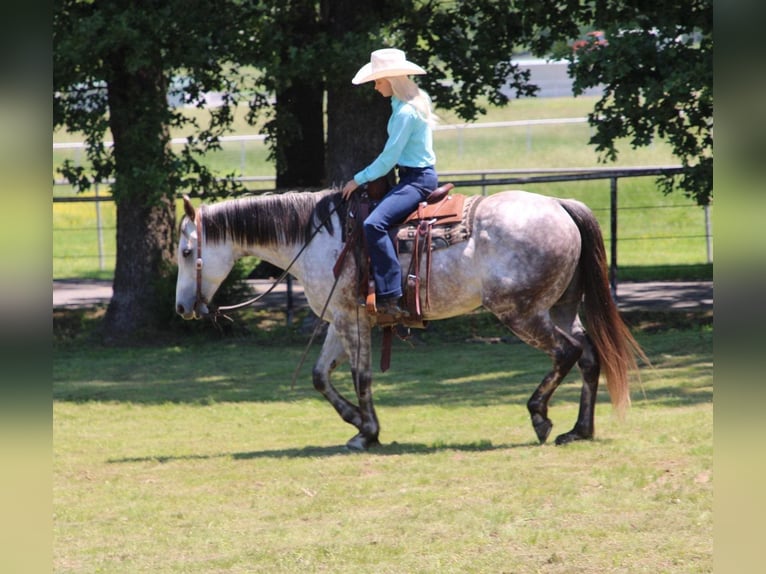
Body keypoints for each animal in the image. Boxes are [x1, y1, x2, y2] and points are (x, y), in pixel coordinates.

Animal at [175, 188, 645, 450]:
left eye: (185, 251)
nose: (182, 309)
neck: (320, 238)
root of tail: (560, 205)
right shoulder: (341, 319)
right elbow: (320, 376)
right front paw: (357, 423)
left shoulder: (351, 321)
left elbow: (361, 377)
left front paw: (367, 431)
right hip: (561, 307)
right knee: (589, 355)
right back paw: (579, 430)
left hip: (522, 312)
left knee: (568, 352)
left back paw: (541, 417)